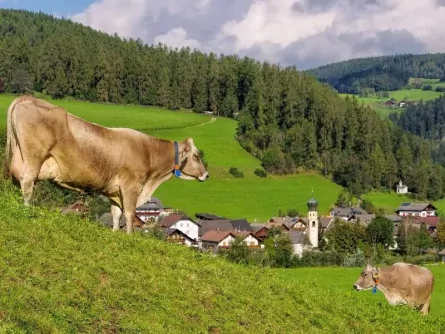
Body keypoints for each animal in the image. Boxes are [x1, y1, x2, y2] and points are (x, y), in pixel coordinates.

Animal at [4, 95, 210, 234]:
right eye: (196, 156)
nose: (206, 175)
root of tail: (27, 98)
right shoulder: (131, 187)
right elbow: (129, 213)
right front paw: (129, 236)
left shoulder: (114, 191)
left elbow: (116, 214)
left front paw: (115, 233)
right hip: (34, 156)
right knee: (27, 182)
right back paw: (27, 210)